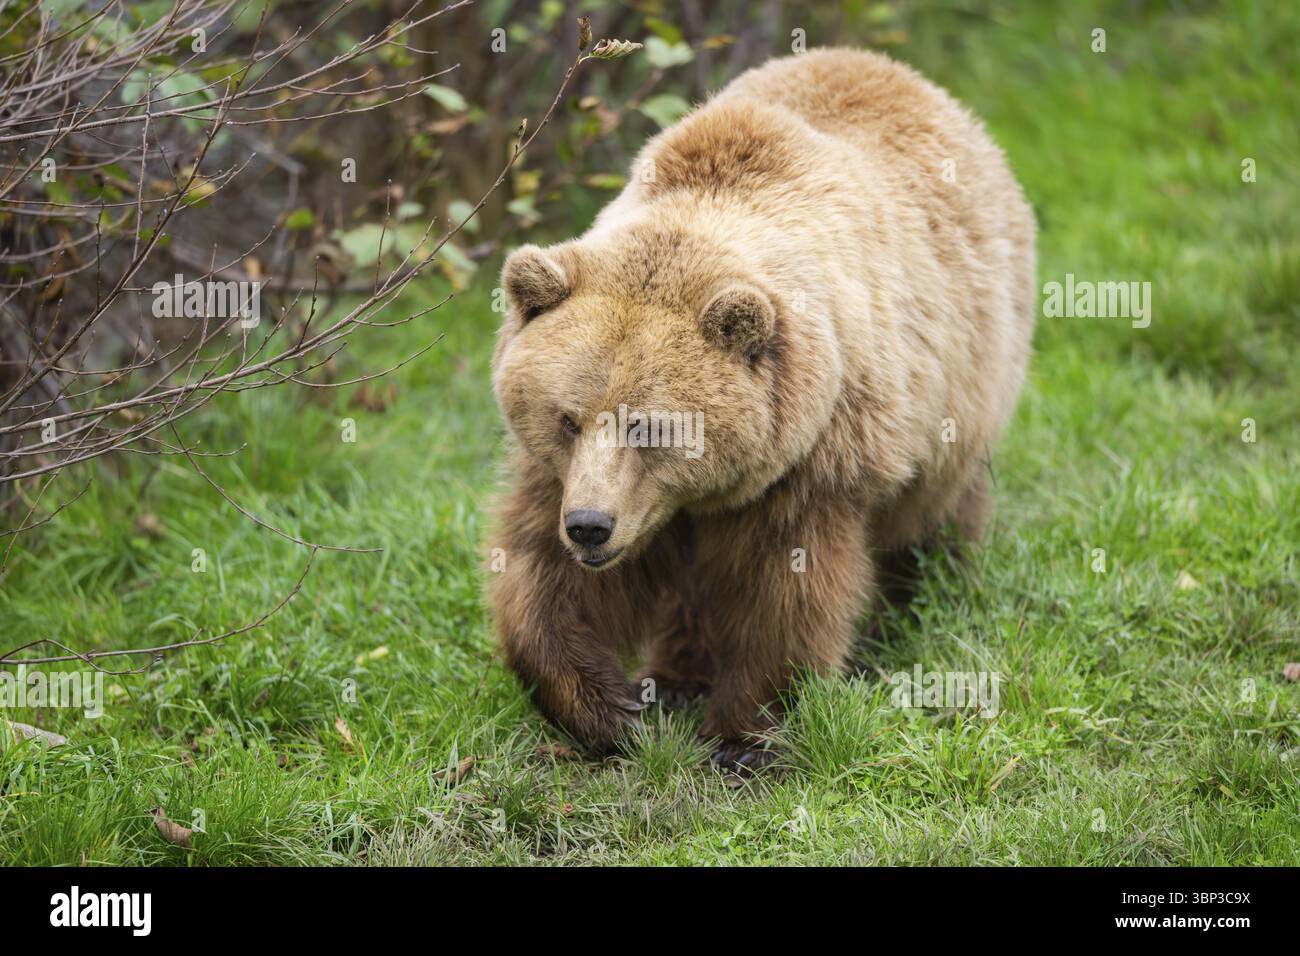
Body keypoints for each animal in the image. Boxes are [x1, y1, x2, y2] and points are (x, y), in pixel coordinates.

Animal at [486, 48, 1036, 770]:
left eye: (651, 425)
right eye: (566, 418)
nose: (590, 527)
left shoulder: (817, 455)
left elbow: (788, 591)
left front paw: (744, 736)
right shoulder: (570, 479)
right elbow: (547, 583)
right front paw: (608, 708)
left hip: (965, 384)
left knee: (934, 512)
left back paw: (918, 601)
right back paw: (678, 674)